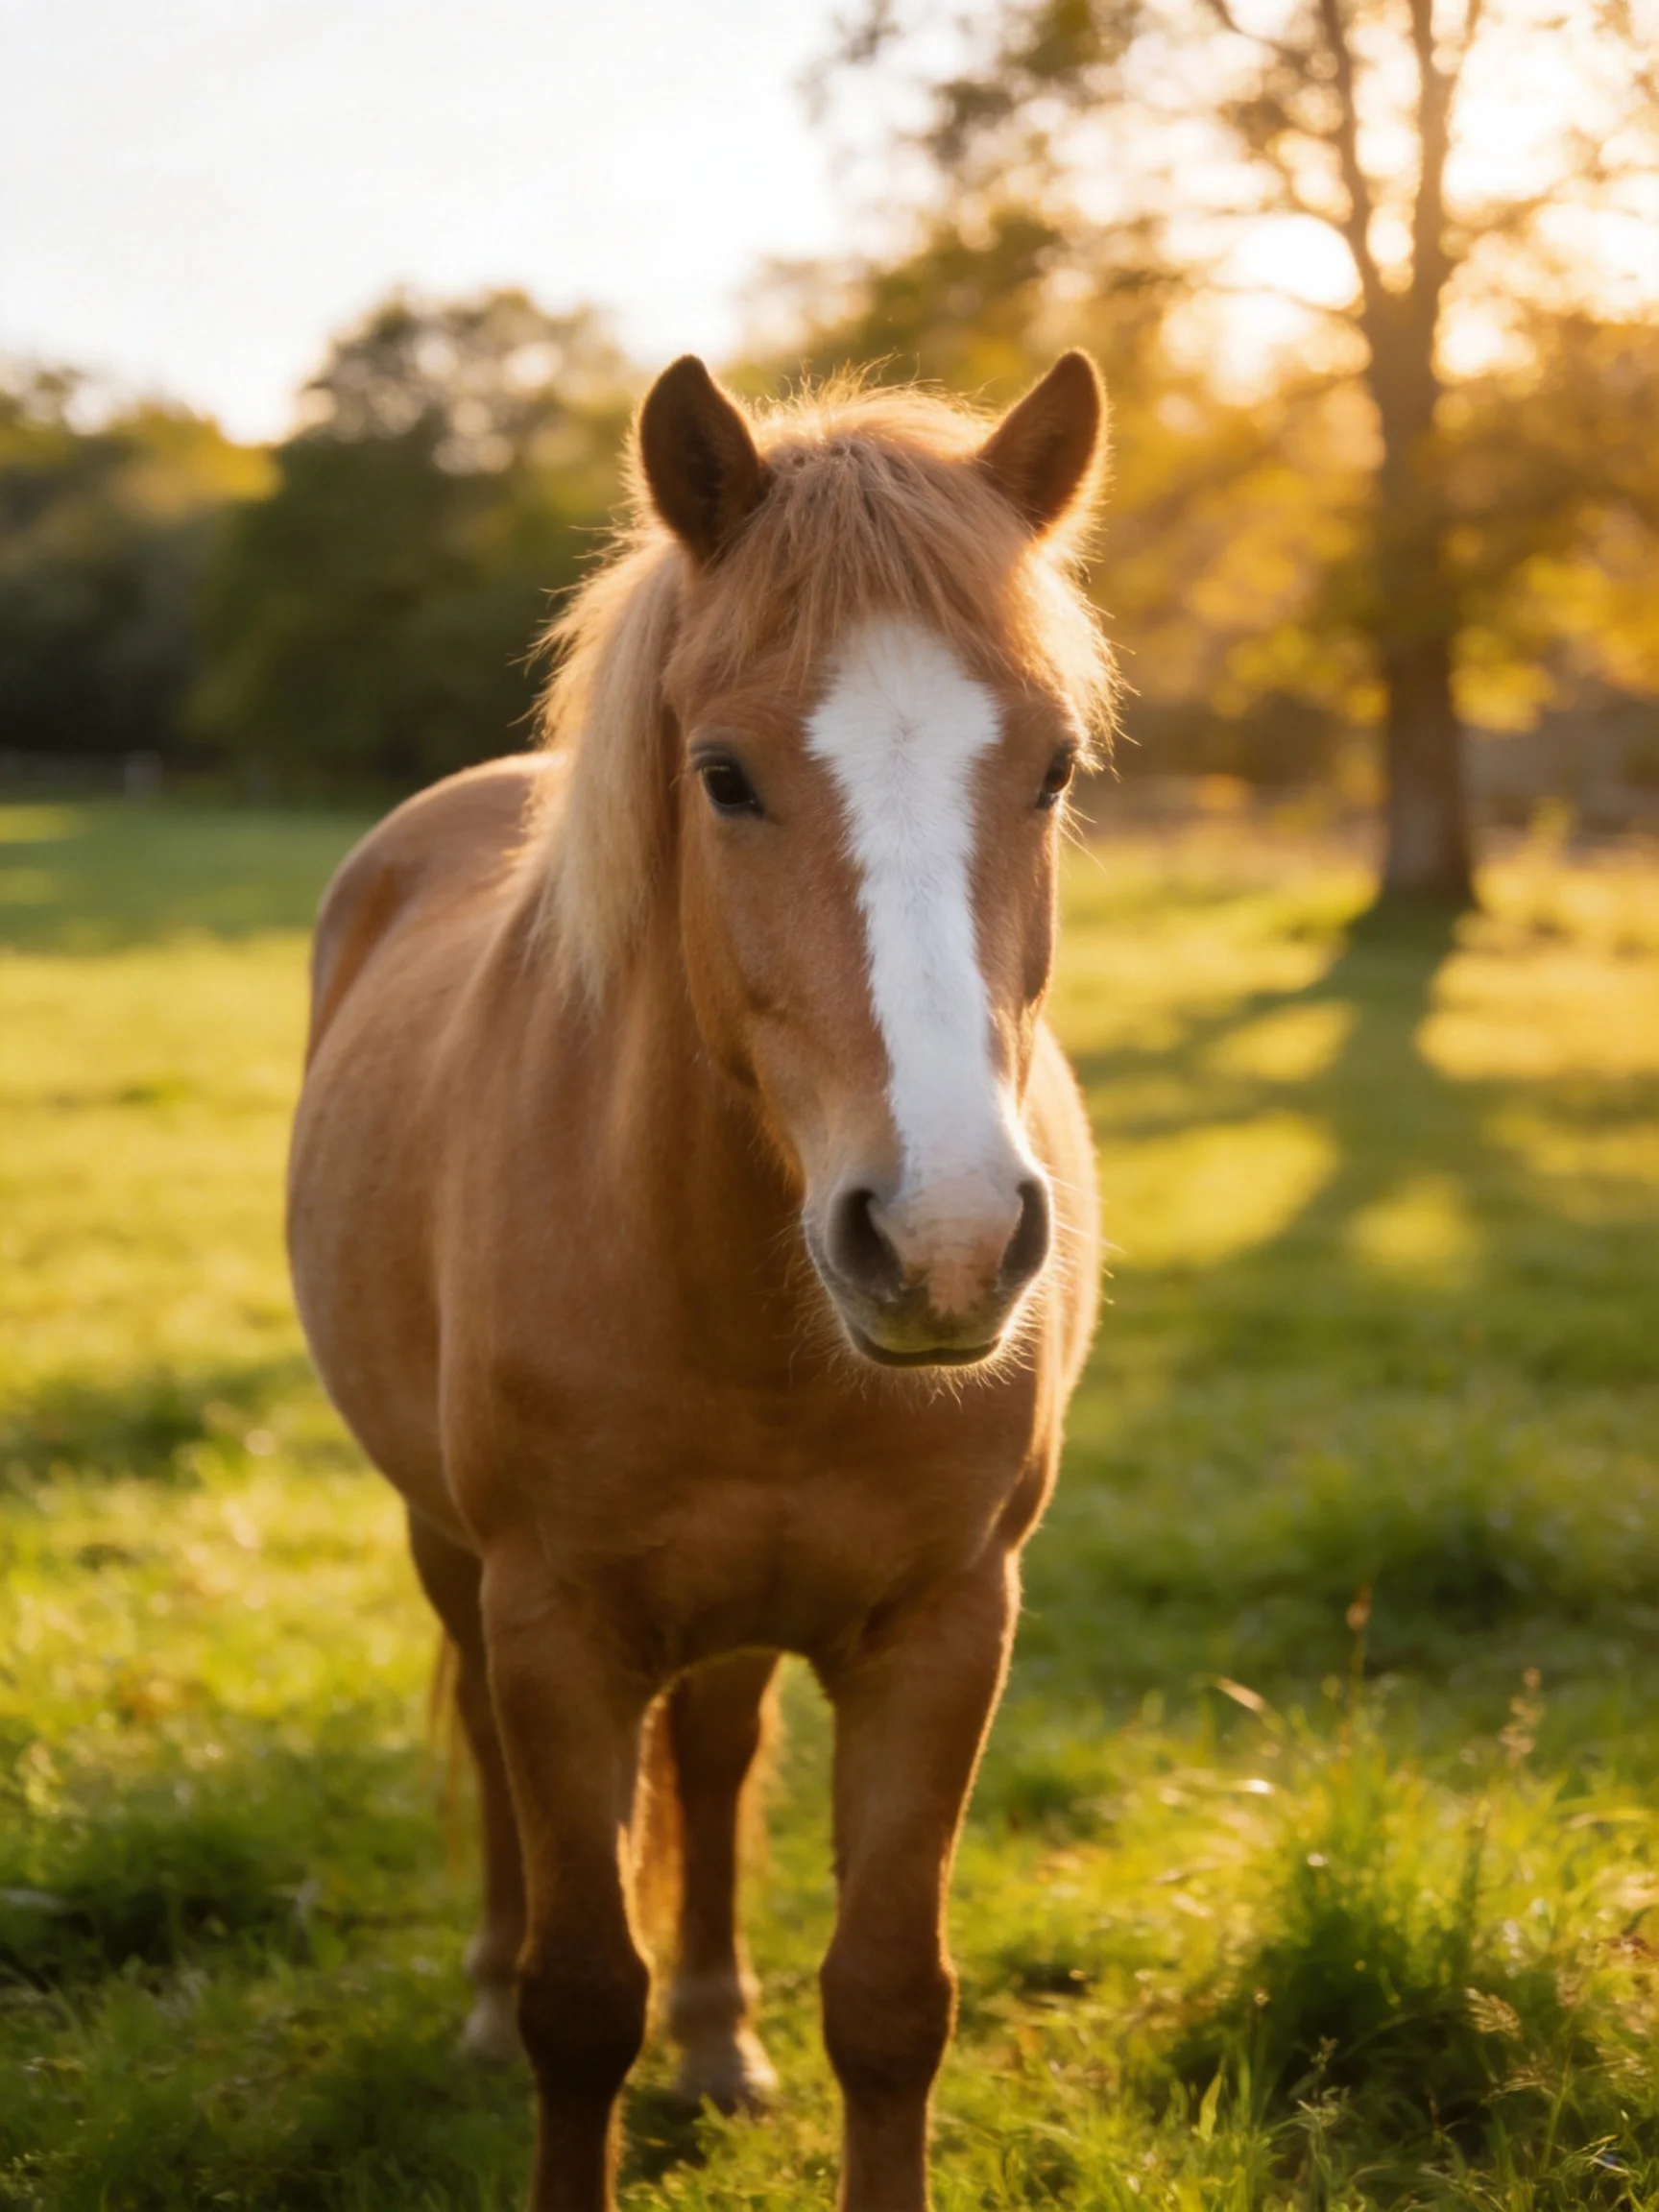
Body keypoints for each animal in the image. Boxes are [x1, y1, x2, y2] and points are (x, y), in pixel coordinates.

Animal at [287, 349, 1112, 2212]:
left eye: (1051, 767)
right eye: (722, 773)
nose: (946, 1236)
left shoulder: (947, 1627)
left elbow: (889, 2002)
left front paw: (742, 2037)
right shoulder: (553, 1624)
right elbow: (580, 1996)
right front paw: (549, 2029)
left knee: (723, 1751)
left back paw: (723, 2041)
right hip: (448, 1549)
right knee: (505, 1793)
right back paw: (480, 2008)